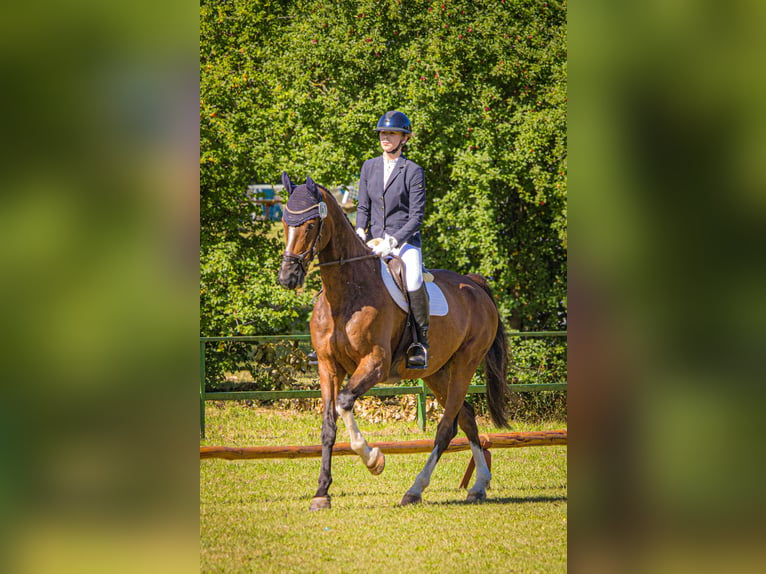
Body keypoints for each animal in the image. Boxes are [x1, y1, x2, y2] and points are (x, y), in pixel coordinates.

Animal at [276, 173, 510, 510]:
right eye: (284, 221)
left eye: (309, 225)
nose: (288, 278)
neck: (345, 293)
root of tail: (475, 285)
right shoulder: (327, 366)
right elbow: (328, 425)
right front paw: (322, 493)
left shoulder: (374, 364)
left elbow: (344, 403)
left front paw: (374, 459)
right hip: (437, 371)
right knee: (465, 418)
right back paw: (478, 485)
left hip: (466, 364)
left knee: (446, 427)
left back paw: (415, 489)